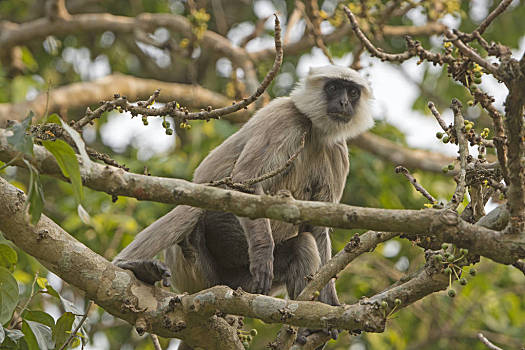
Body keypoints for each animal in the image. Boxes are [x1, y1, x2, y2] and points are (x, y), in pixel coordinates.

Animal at [114, 66, 372, 312]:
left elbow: (316, 227)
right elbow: (245, 182)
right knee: (192, 207)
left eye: (352, 92)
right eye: (334, 87)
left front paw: (329, 303)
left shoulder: (337, 150)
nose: (344, 103)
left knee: (303, 245)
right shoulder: (284, 118)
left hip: (241, 281)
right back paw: (130, 266)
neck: (314, 130)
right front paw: (262, 252)